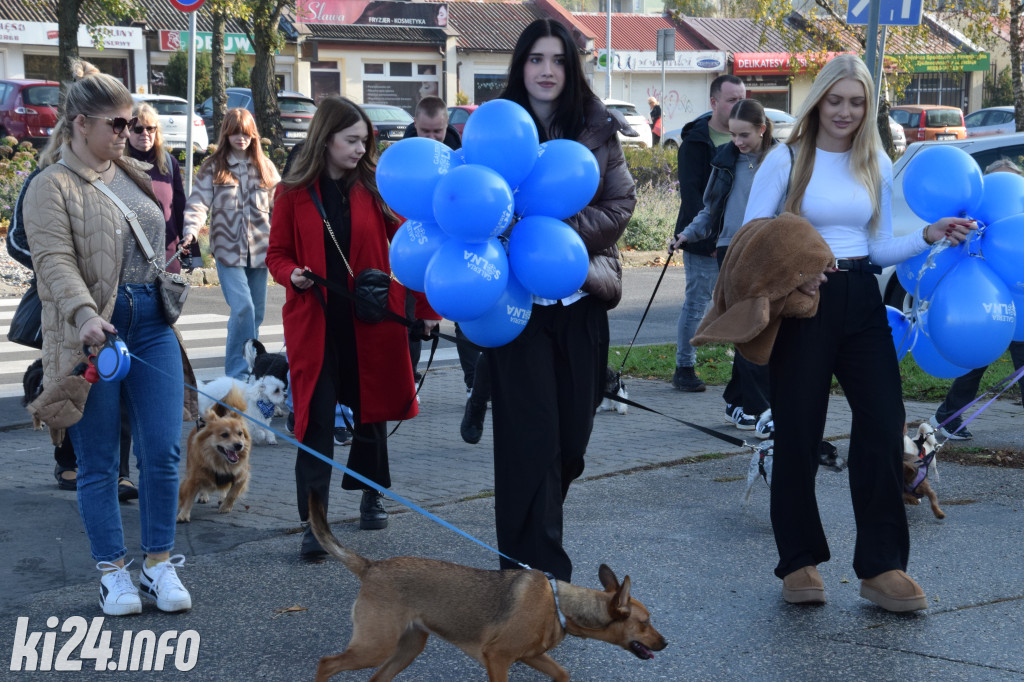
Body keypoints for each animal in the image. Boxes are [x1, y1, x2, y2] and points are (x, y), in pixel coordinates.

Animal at [307, 491, 667, 675]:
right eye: (645, 622)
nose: (666, 643)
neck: (561, 606)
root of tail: (372, 566)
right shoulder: (497, 658)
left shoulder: (532, 656)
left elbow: (562, 674)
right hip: (375, 647)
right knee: (326, 664)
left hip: (407, 647)